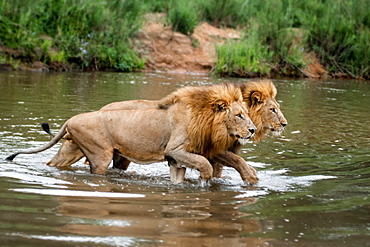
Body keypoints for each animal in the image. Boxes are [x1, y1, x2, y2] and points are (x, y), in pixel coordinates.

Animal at [5, 84, 258, 183]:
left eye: (247, 113)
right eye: (239, 115)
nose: (253, 129)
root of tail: (71, 119)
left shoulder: (186, 155)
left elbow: (234, 159)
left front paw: (252, 178)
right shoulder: (175, 150)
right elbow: (206, 164)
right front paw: (205, 179)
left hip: (80, 152)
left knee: (53, 162)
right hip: (99, 155)